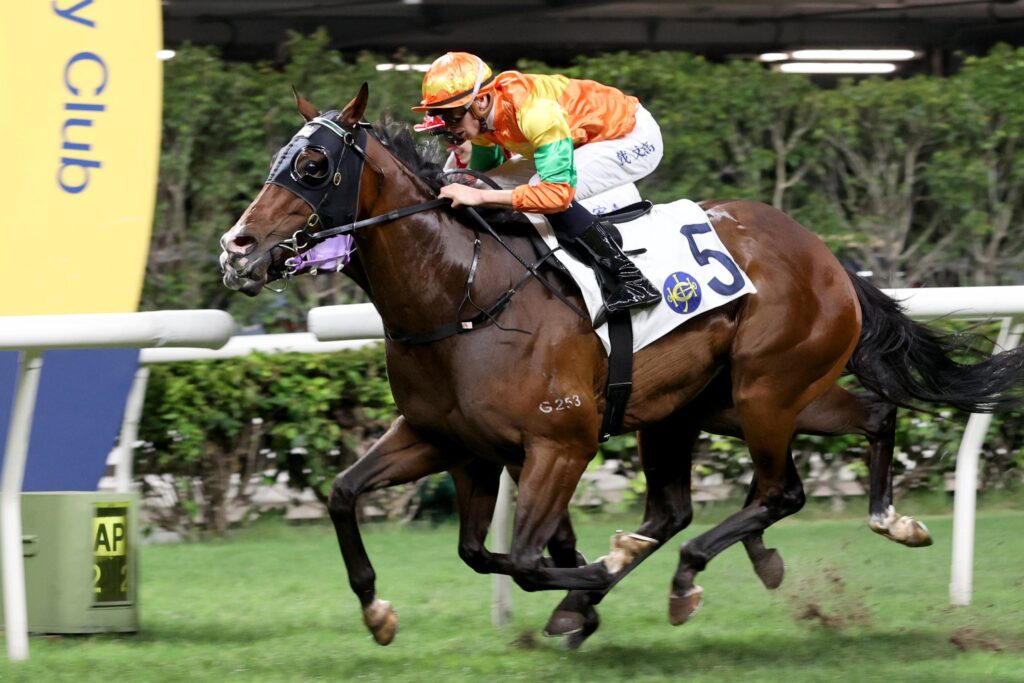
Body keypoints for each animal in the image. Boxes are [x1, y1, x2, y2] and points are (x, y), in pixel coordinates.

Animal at [219, 84, 1023, 646]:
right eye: (276, 163)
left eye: (314, 165)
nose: (237, 247)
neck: (464, 291)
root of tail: (826, 256)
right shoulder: (450, 441)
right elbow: (367, 504)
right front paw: (379, 610)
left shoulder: (559, 443)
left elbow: (525, 556)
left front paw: (591, 577)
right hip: (720, 402)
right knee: (856, 424)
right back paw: (884, 522)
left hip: (767, 390)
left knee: (777, 490)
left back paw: (689, 573)